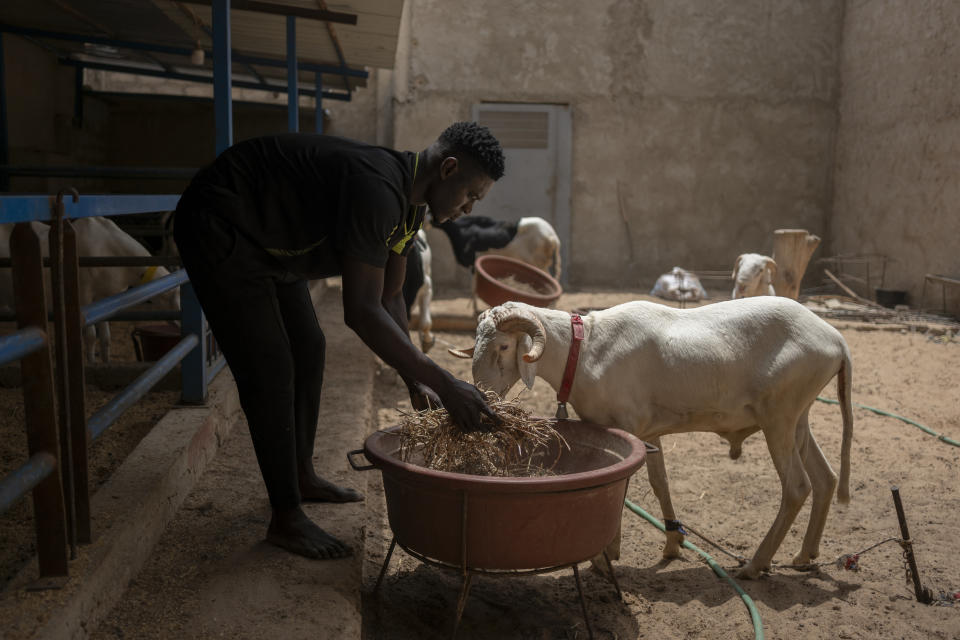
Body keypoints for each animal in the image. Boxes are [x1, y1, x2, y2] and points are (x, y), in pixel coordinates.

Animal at [450, 298, 856, 576]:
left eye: (504, 347)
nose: (483, 395)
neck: (584, 349)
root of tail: (836, 339)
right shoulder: (649, 431)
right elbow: (660, 483)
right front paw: (673, 544)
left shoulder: (626, 426)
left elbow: (621, 488)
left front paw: (605, 557)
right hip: (798, 417)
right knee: (825, 479)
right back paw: (804, 556)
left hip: (780, 416)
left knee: (798, 487)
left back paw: (755, 565)